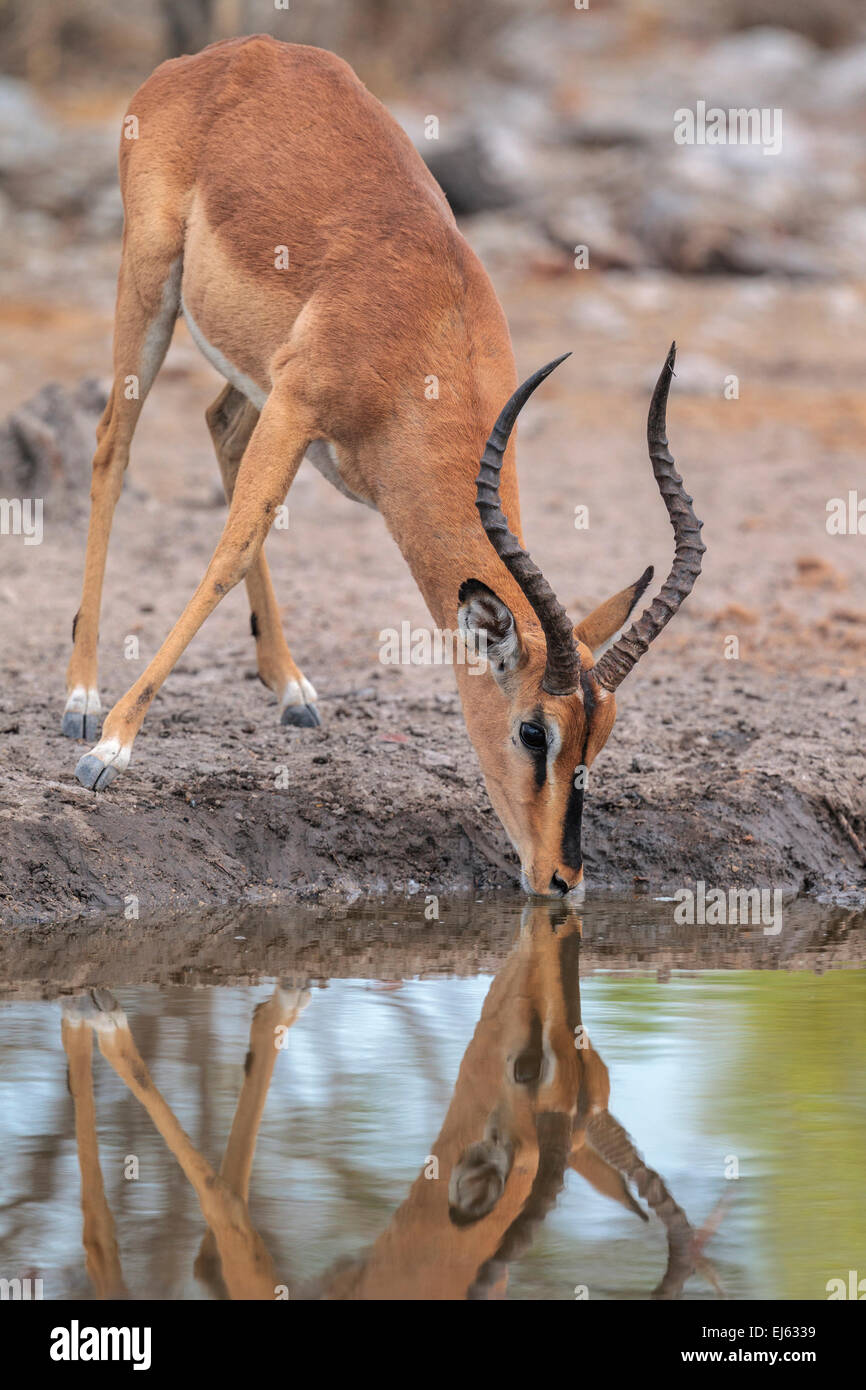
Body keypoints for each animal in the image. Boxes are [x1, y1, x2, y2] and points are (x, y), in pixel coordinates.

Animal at [62, 35, 705, 897]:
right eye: (534, 732)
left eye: (600, 737)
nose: (562, 879)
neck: (427, 322)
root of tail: (216, 57)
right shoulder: (298, 404)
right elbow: (230, 548)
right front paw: (111, 750)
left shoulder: (288, 406)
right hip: (149, 283)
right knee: (112, 445)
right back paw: (81, 698)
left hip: (247, 376)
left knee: (217, 426)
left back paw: (291, 689)